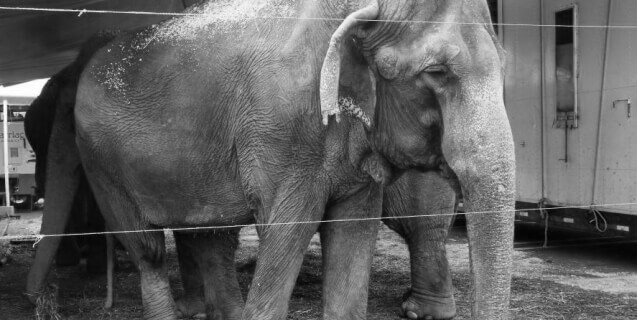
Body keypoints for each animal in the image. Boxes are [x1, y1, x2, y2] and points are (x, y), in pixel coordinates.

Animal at [31, 0, 516, 318]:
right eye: (436, 73)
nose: (38, 300)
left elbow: (354, 234)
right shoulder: (280, 135)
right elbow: (288, 231)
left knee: (209, 235)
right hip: (101, 160)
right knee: (148, 249)